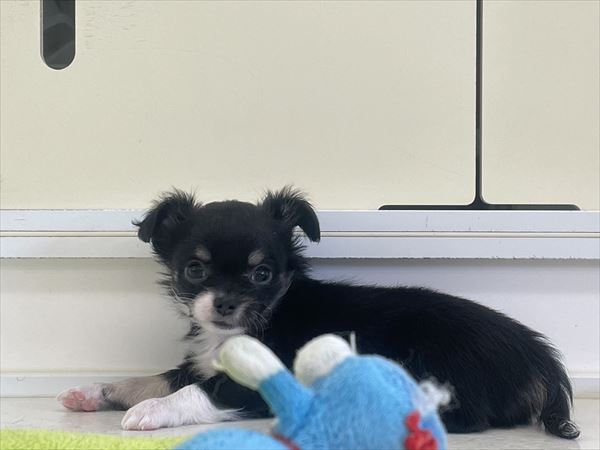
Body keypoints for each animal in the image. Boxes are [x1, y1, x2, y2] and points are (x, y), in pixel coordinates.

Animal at [58, 187, 580, 439]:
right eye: (194, 269)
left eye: (262, 274)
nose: (224, 303)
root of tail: (540, 358)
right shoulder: (201, 360)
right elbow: (161, 376)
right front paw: (96, 391)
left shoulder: (259, 381)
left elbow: (195, 392)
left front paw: (150, 411)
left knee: (467, 416)